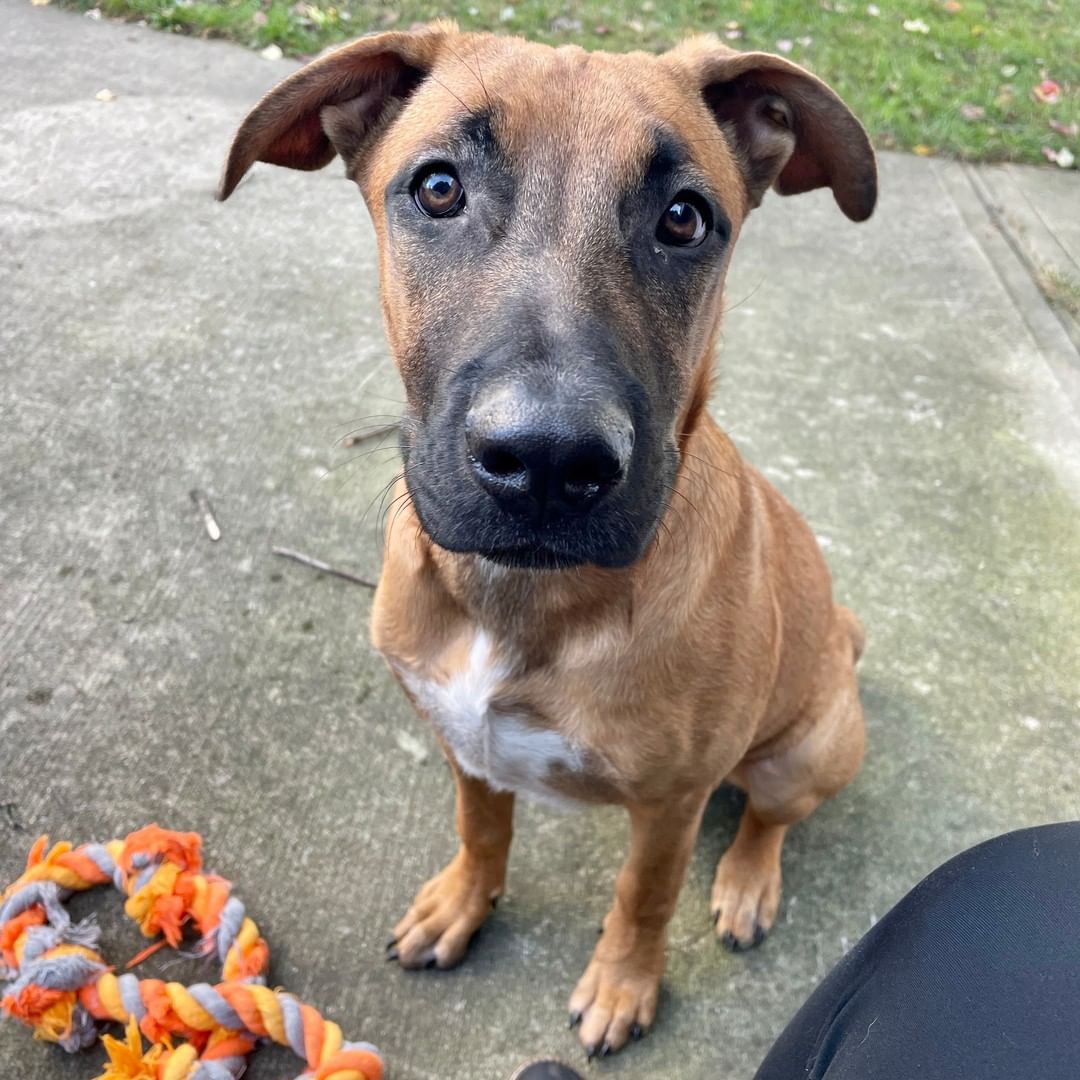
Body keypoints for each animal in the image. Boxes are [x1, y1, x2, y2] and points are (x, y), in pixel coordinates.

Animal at [221, 21, 876, 1058]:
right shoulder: (464, 741)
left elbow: (642, 897)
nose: (546, 462)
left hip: (802, 751)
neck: (523, 602)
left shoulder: (670, 805)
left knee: (769, 818)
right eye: (437, 187)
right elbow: (482, 829)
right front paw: (462, 904)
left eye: (685, 218)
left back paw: (744, 884)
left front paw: (622, 984)